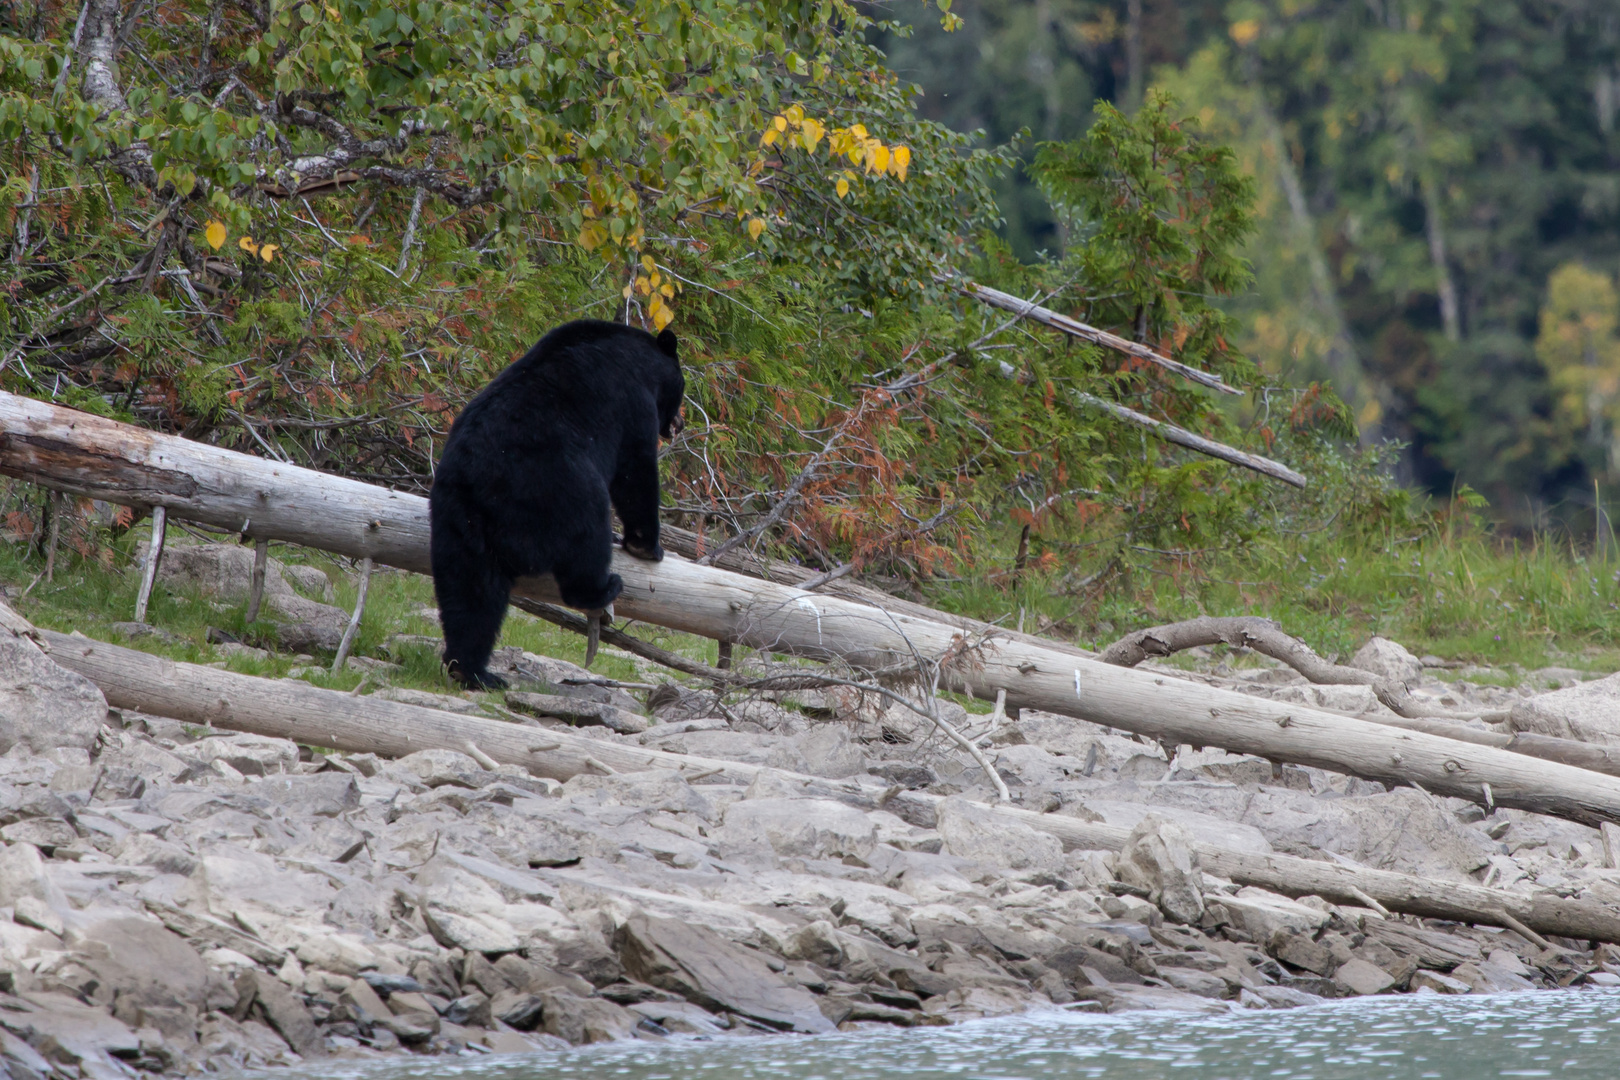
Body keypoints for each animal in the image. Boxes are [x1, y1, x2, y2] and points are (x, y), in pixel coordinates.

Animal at [424, 320, 683, 693]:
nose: (679, 424)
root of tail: (486, 491)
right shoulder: (633, 401)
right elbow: (635, 469)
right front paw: (646, 546)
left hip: (459, 521)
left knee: (471, 594)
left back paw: (472, 670)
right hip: (563, 490)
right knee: (588, 537)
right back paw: (601, 588)